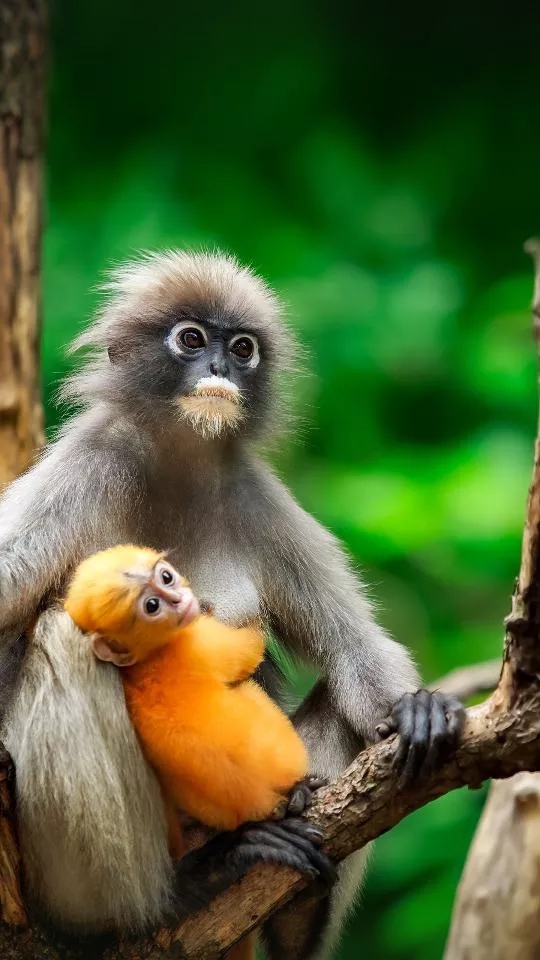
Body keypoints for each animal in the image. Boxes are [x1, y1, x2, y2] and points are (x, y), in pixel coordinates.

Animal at [0, 250, 464, 956]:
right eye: (191, 340)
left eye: (242, 348)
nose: (220, 368)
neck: (179, 461)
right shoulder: (86, 465)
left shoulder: (254, 496)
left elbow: (352, 646)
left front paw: (416, 708)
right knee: (62, 637)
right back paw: (168, 898)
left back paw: (298, 904)